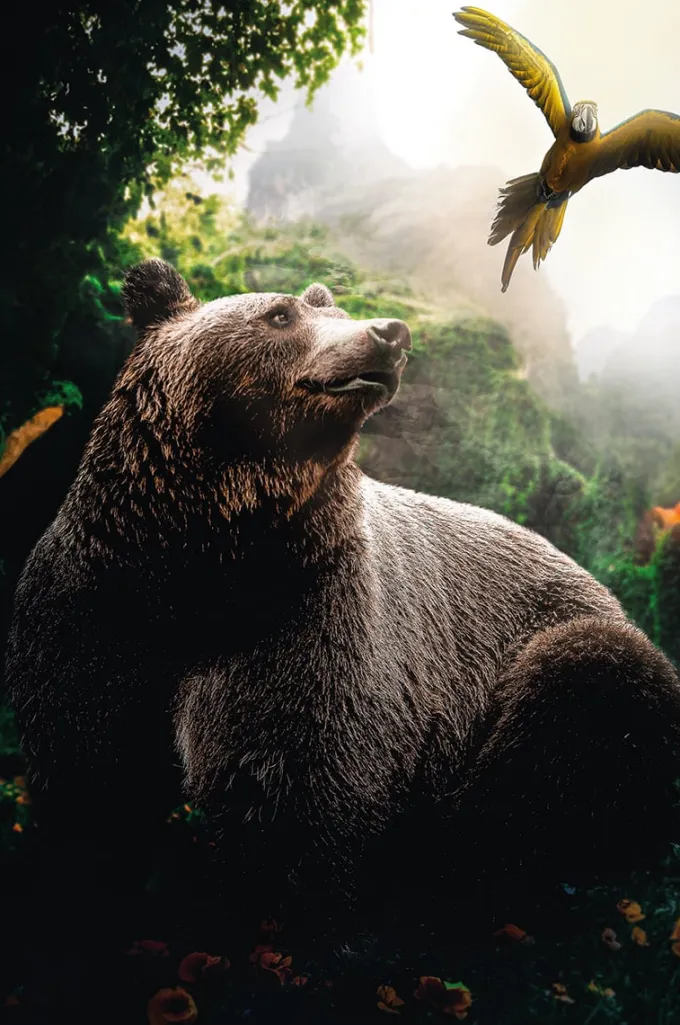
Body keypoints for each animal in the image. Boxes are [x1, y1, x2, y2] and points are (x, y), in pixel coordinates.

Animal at [6, 258, 680, 949]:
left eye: (335, 310)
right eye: (281, 313)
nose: (390, 333)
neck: (210, 555)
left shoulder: (314, 622)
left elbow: (308, 787)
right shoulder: (99, 603)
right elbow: (91, 772)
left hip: (564, 654)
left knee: (563, 727)